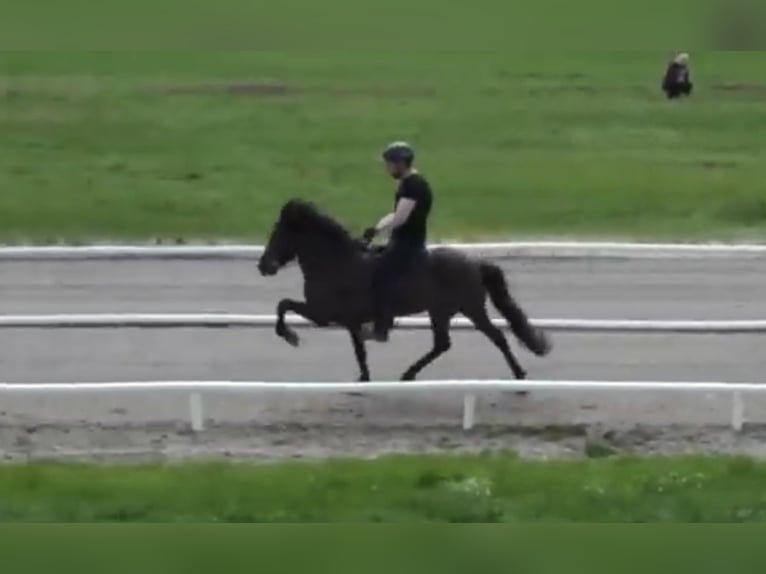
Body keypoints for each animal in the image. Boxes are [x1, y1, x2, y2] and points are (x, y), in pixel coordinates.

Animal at [258, 200, 552, 384]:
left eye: (279, 232)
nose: (263, 266)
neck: (336, 263)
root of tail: (474, 263)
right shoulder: (348, 320)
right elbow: (359, 350)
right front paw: (363, 378)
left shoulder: (322, 314)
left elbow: (283, 304)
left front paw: (290, 336)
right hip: (441, 312)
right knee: (442, 344)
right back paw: (409, 374)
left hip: (470, 309)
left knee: (496, 337)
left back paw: (519, 375)